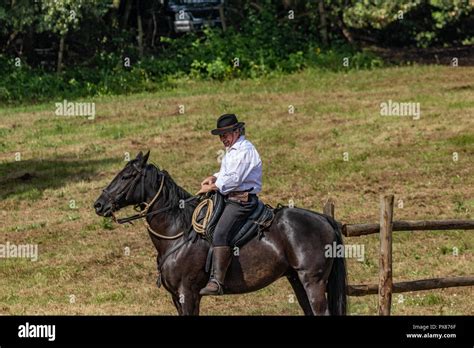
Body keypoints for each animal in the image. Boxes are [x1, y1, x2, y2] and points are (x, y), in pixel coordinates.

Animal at [94, 152, 348, 316]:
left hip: (313, 281)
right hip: (297, 279)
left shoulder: (187, 293)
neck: (178, 233)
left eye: (127, 176)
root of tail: (324, 219)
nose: (99, 204)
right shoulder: (177, 297)